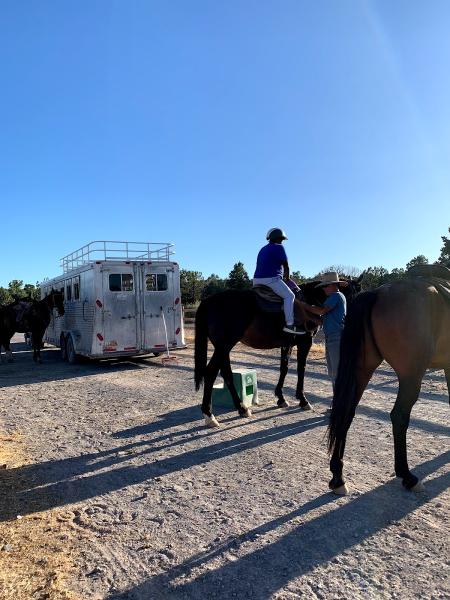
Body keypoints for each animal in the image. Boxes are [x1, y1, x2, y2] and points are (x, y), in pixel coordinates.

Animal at [193, 276, 362, 426]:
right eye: (350, 295)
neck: (308, 300)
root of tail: (209, 301)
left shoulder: (287, 344)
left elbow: (284, 368)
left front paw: (281, 398)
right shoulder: (305, 343)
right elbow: (301, 369)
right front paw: (303, 400)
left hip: (223, 348)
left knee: (223, 373)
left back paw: (235, 409)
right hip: (224, 346)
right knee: (212, 373)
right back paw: (214, 414)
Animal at [326, 264, 450, 494]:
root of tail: (378, 293)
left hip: (362, 370)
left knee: (346, 413)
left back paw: (338, 477)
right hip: (411, 376)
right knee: (399, 416)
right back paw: (407, 476)